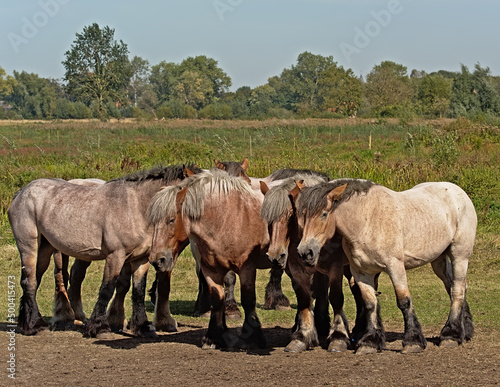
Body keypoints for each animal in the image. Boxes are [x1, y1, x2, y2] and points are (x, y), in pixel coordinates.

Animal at [296, 179, 476, 354]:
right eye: (302, 215)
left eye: (324, 214)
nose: (305, 252)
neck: (367, 220)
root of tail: (457, 191)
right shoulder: (361, 272)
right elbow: (370, 304)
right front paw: (370, 342)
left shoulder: (394, 266)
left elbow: (404, 301)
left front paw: (412, 341)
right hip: (439, 261)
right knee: (452, 286)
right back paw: (464, 331)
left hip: (459, 255)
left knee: (457, 289)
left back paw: (451, 335)